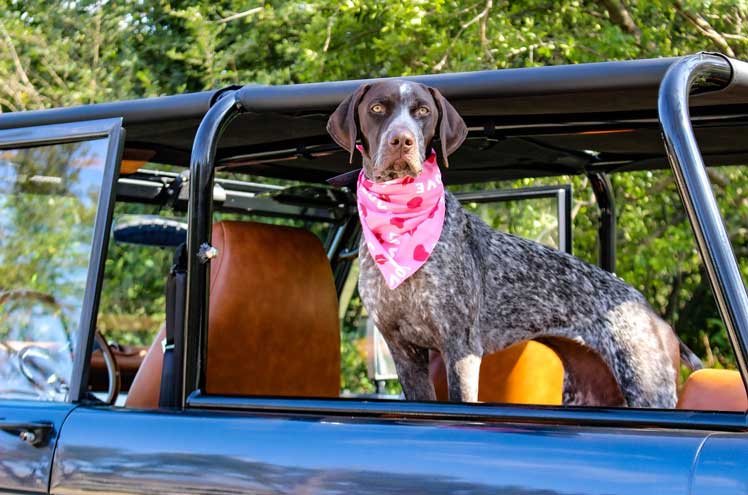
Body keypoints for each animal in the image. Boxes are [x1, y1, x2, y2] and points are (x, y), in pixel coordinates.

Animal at [328, 80, 700, 406]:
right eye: (377, 108)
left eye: (423, 111)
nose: (401, 140)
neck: (400, 222)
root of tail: (652, 313)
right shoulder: (403, 350)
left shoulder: (460, 348)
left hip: (648, 388)